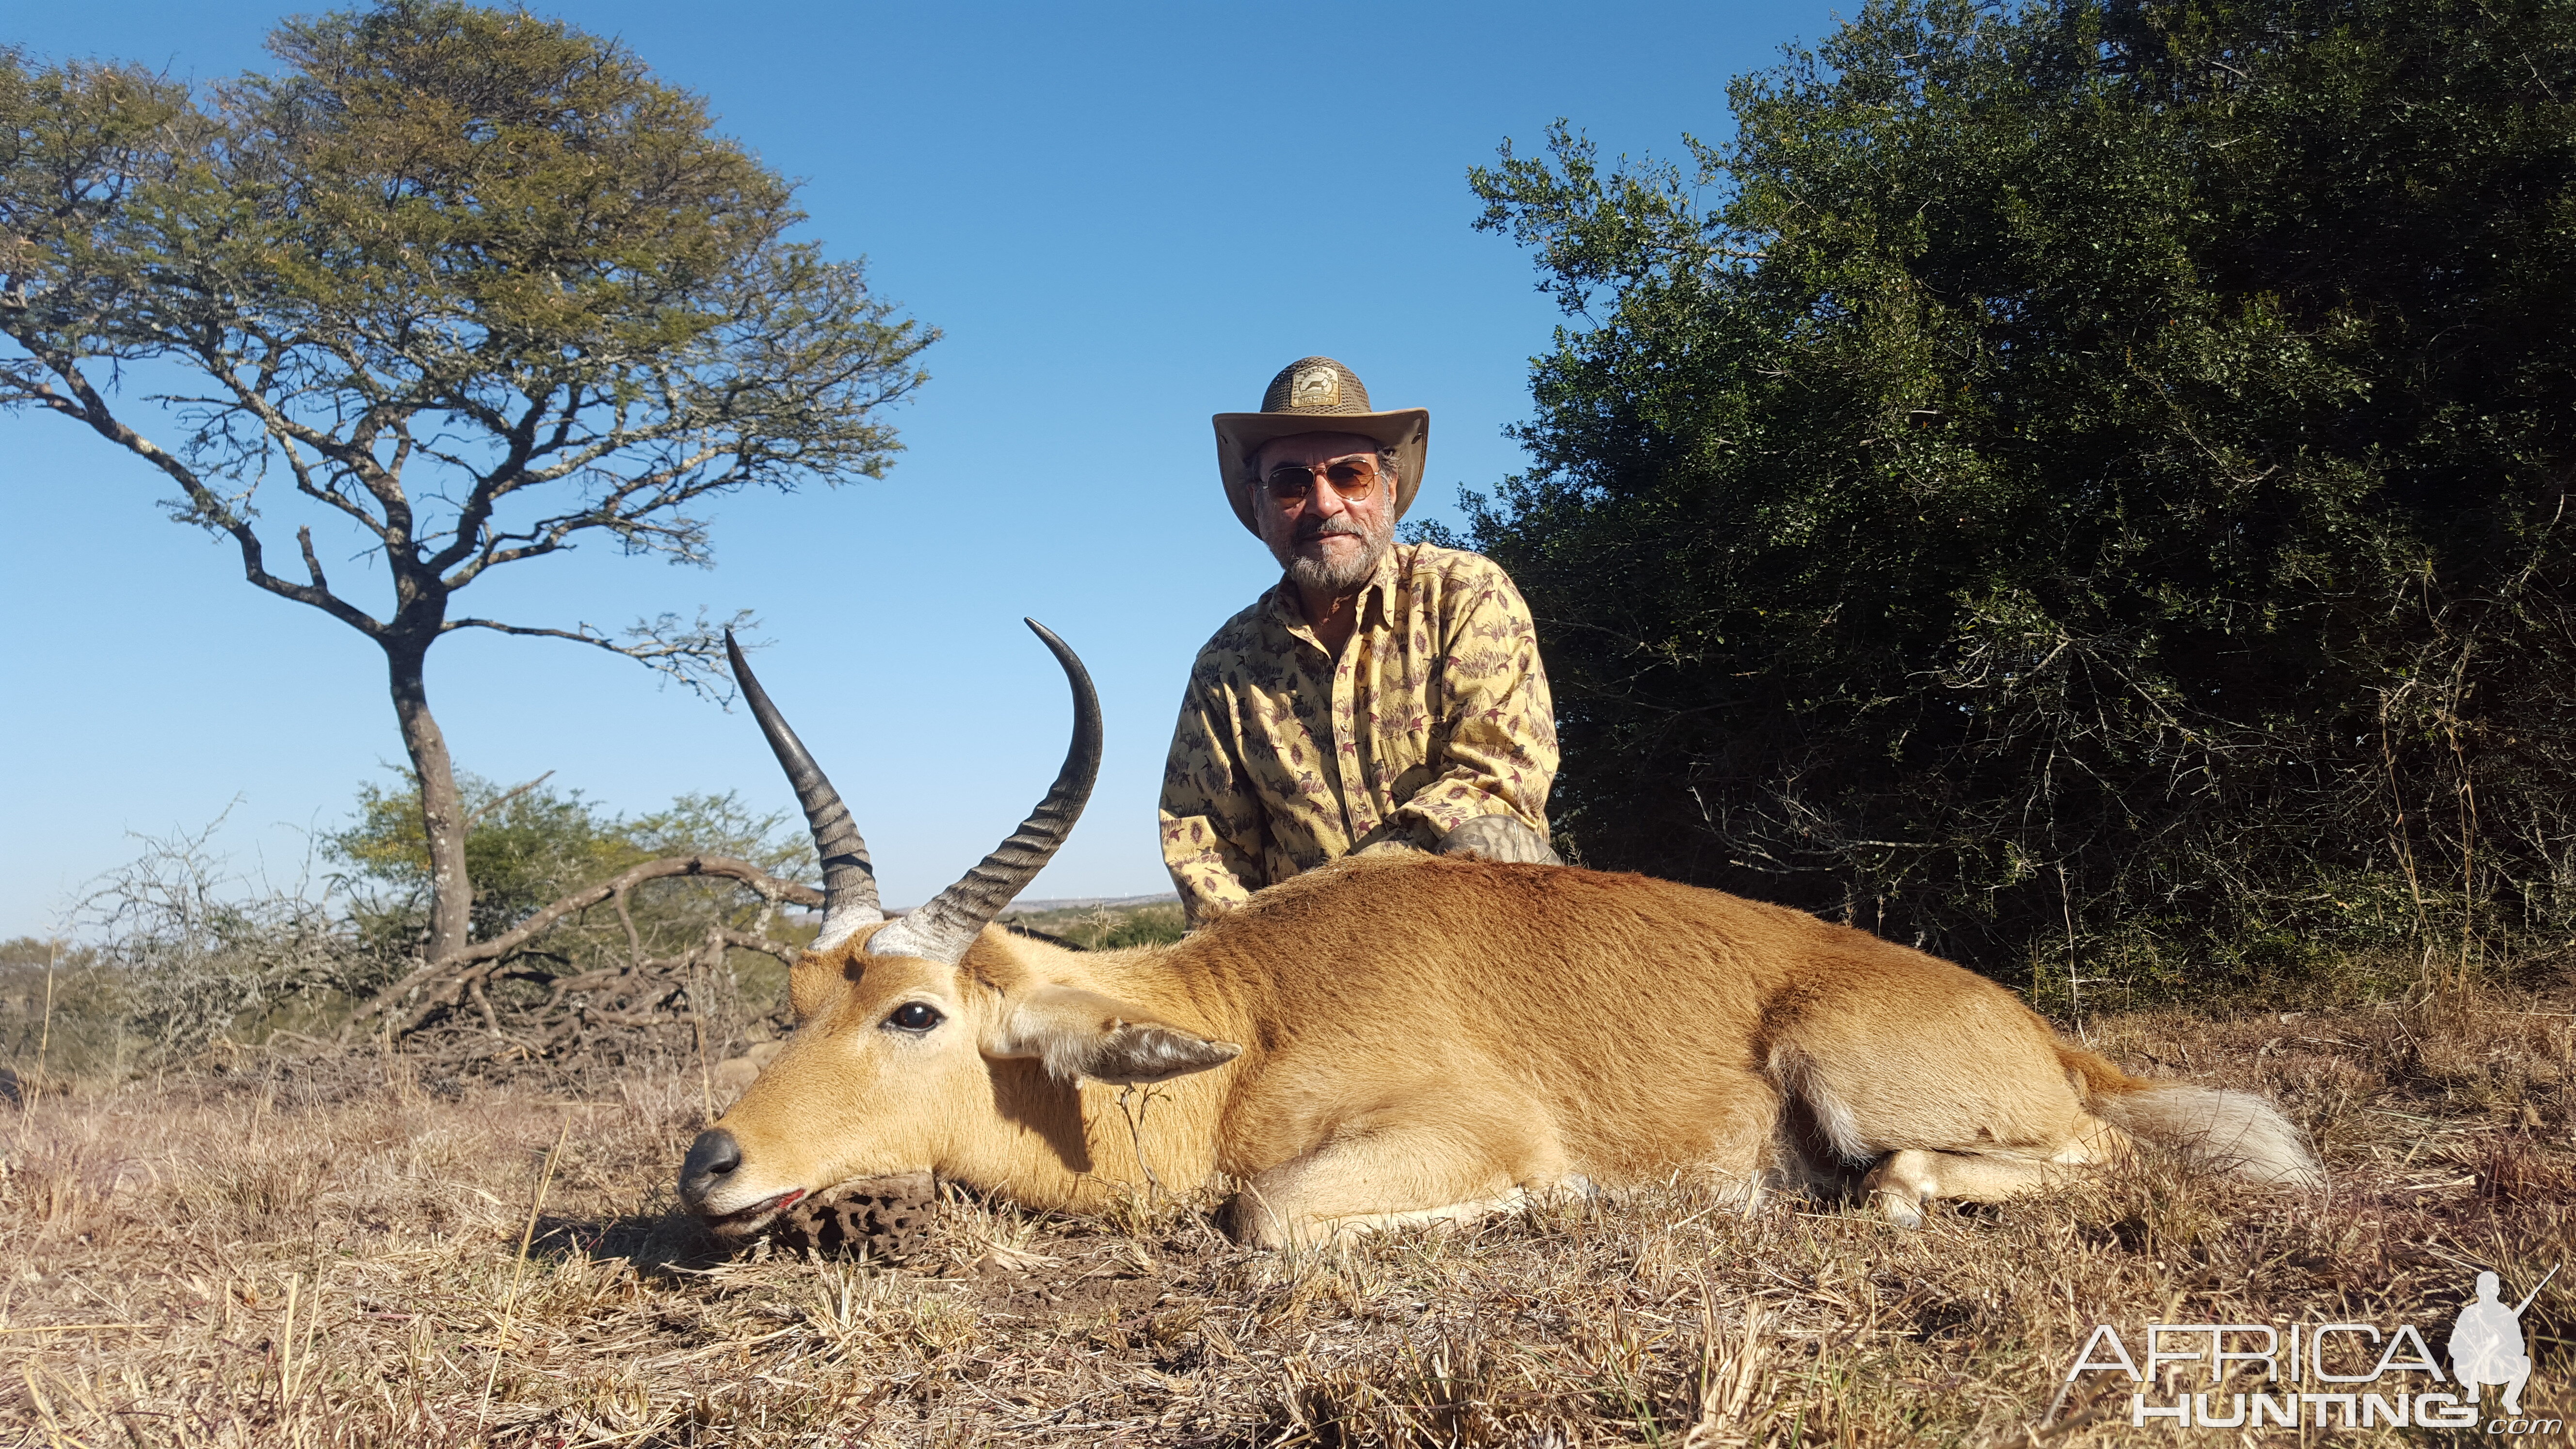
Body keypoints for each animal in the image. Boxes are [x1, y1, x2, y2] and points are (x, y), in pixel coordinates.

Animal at [680, 621, 2318, 1242]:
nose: (713, 1165)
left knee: (2034, 1163)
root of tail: (2044, 1035)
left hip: (1860, 1087)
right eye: (798, 990)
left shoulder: (1447, 1138)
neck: (1244, 1025)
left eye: (914, 1009)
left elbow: (1267, 1217)